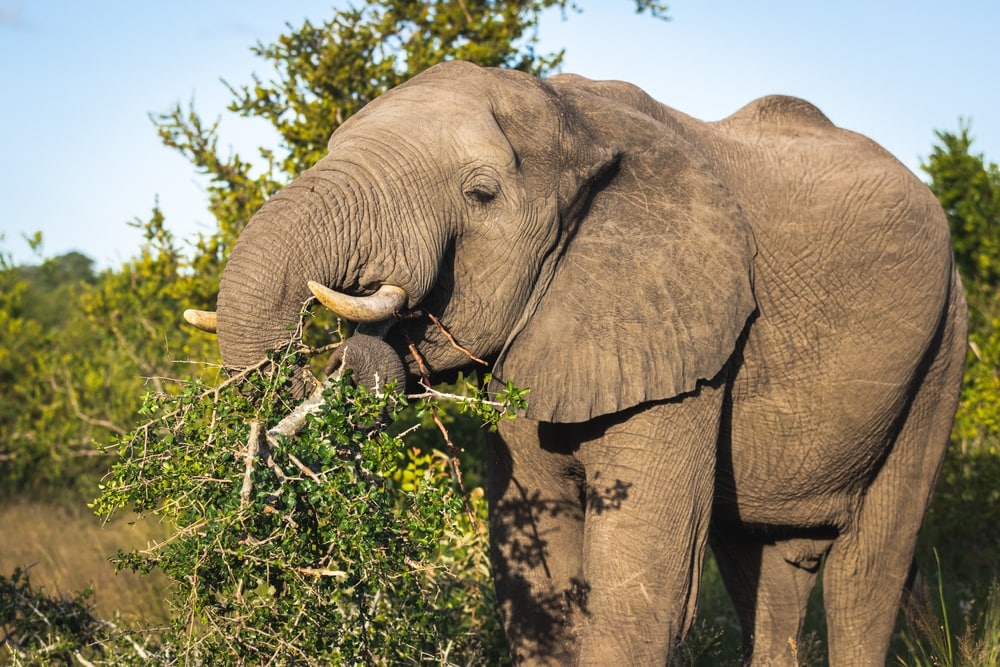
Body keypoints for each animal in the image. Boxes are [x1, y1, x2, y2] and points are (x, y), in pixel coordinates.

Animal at [183, 61, 967, 665]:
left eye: (480, 193)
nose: (359, 353)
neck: (574, 119)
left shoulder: (684, 332)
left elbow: (639, 593)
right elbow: (534, 584)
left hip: (941, 352)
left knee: (867, 571)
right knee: (764, 566)